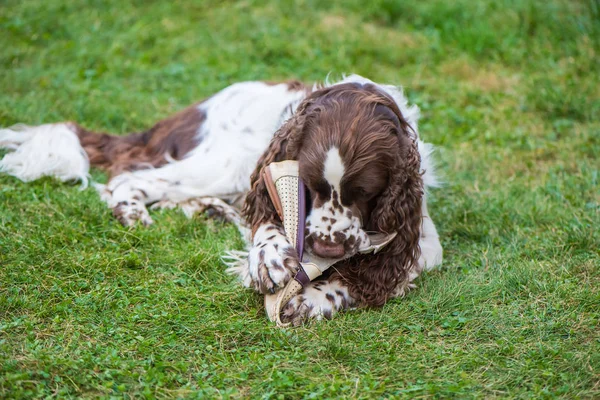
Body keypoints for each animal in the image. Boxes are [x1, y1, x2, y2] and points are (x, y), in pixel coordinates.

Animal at [0, 76, 440, 324]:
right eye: (309, 185)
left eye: (366, 193)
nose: (326, 249)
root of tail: (193, 110)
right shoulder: (268, 174)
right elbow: (266, 222)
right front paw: (270, 260)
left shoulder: (420, 240)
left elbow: (377, 272)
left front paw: (316, 298)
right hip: (225, 162)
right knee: (129, 176)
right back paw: (133, 212)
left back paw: (209, 209)